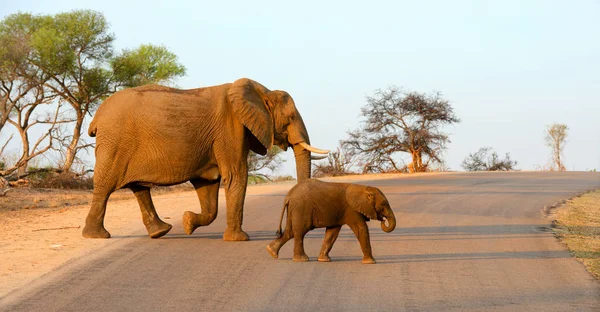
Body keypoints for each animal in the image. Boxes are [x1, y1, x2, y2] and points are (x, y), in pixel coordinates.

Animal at [82, 78, 328, 241]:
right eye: (291, 117)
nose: (280, 231)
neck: (261, 92)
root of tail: (97, 117)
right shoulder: (230, 128)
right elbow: (236, 176)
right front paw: (240, 239)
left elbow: (209, 185)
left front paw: (188, 222)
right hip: (115, 143)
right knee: (105, 186)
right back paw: (97, 236)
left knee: (139, 188)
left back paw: (161, 231)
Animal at [266, 179, 396, 264]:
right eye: (384, 204)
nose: (383, 220)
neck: (364, 188)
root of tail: (288, 196)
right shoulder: (351, 209)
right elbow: (361, 228)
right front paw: (371, 262)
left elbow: (332, 233)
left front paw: (323, 260)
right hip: (301, 208)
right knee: (300, 231)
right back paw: (301, 259)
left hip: (294, 209)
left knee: (290, 231)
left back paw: (271, 251)